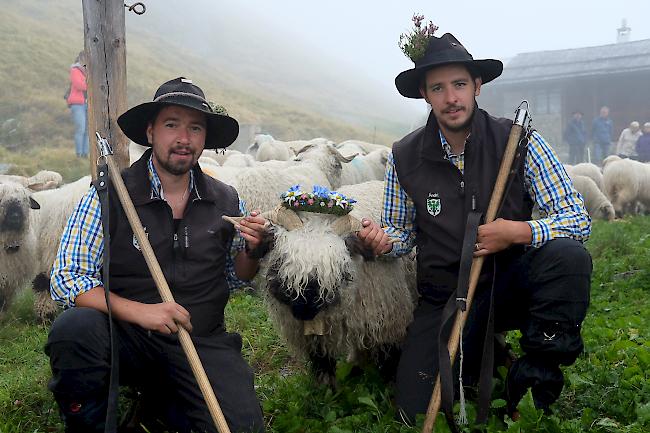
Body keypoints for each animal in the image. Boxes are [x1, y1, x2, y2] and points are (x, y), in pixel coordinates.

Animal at [253, 181, 416, 384]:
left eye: (334, 268)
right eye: (282, 260)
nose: (303, 311)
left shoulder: (387, 320)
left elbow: (390, 358)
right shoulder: (313, 335)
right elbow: (322, 362)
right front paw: (325, 389)